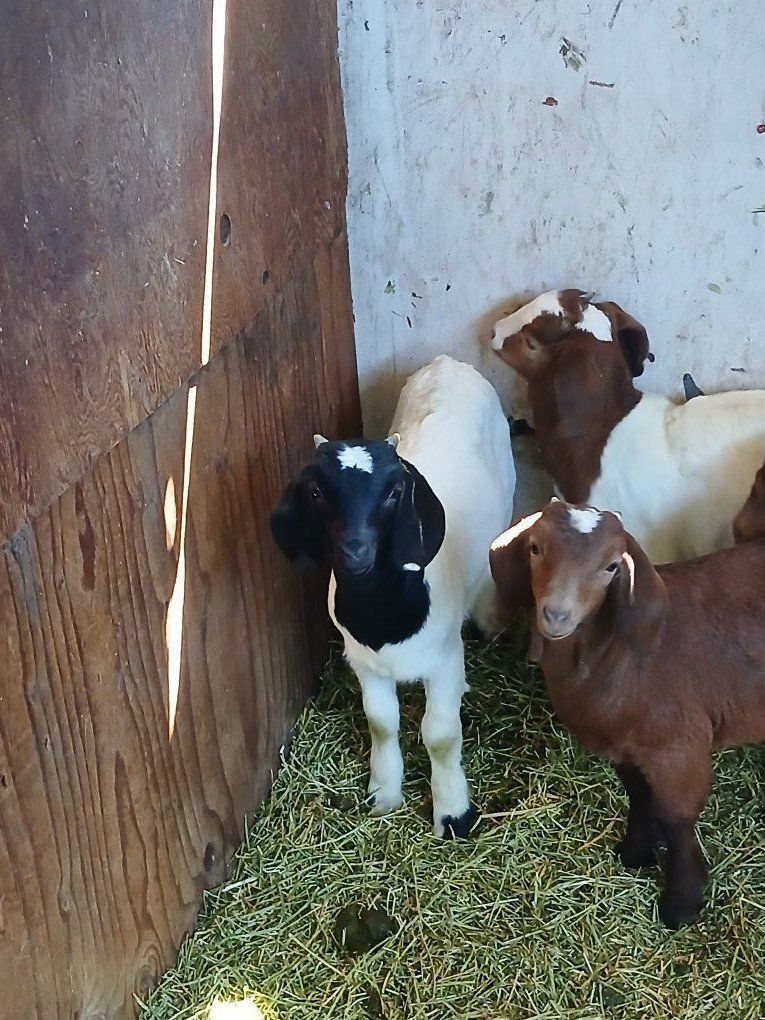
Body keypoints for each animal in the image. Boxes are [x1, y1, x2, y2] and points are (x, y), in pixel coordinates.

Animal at [271, 355, 515, 837]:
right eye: (316, 491)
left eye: (394, 491)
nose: (355, 550)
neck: (383, 616)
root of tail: (448, 362)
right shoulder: (365, 663)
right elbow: (382, 723)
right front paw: (384, 793)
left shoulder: (443, 658)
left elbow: (440, 735)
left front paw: (453, 813)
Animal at [489, 498, 765, 928]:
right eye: (534, 548)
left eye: (610, 567)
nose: (556, 615)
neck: (615, 656)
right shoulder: (624, 746)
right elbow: (638, 795)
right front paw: (635, 853)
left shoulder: (677, 748)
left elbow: (677, 818)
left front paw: (681, 902)